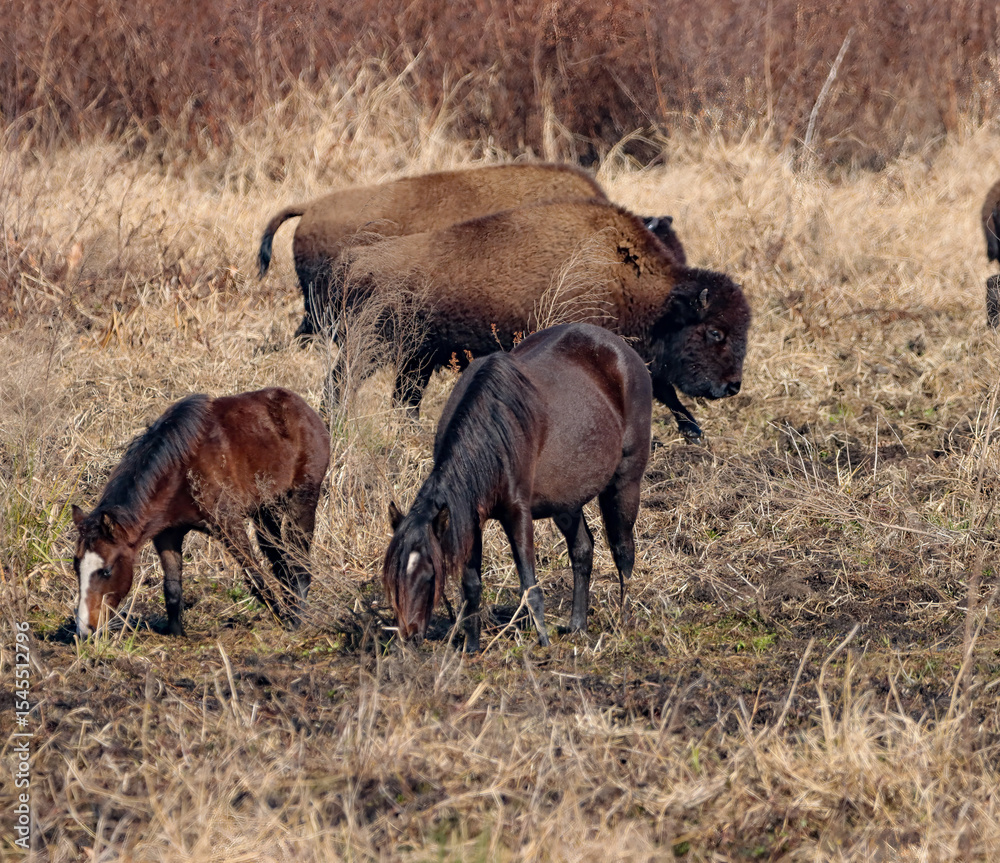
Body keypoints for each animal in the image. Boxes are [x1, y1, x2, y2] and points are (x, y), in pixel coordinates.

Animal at [71, 387, 330, 637]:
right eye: (76, 567)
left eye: (106, 571)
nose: (84, 630)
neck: (179, 469)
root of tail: (305, 410)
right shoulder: (167, 534)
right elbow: (172, 586)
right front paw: (176, 633)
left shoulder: (228, 525)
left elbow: (253, 575)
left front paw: (282, 619)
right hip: (265, 511)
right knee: (280, 559)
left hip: (302, 500)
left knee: (299, 558)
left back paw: (295, 616)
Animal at [324, 198, 749, 439]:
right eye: (715, 332)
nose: (732, 386)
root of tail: (358, 259)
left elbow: (665, 391)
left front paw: (693, 431)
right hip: (374, 346)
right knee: (341, 383)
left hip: (419, 358)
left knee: (404, 399)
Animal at [382, 322, 653, 652]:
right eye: (393, 578)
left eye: (428, 575)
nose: (408, 635)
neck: (494, 432)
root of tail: (623, 349)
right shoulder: (469, 517)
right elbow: (471, 585)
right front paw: (472, 647)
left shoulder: (517, 514)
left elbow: (530, 586)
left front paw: (544, 644)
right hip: (567, 502)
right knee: (582, 551)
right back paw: (578, 625)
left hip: (625, 483)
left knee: (623, 551)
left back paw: (624, 620)